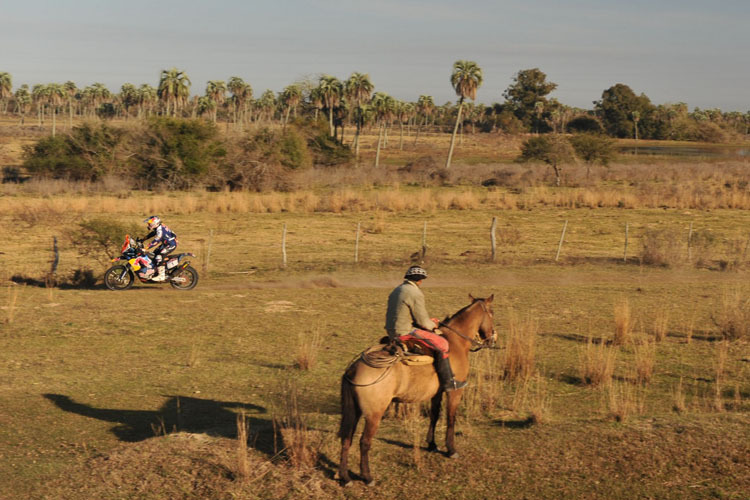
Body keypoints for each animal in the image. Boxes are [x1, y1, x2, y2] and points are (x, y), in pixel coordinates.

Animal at [340, 294, 494, 486]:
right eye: (492, 312)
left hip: (354, 411)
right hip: (373, 414)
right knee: (364, 442)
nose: (492, 338)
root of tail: (354, 368)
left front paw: (432, 444)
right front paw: (451, 449)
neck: (456, 342)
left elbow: (435, 416)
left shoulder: (437, 393)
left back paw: (345, 478)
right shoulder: (454, 391)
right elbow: (451, 418)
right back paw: (367, 477)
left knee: (346, 439)